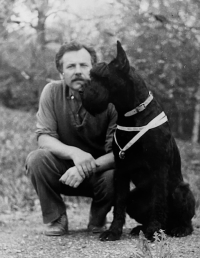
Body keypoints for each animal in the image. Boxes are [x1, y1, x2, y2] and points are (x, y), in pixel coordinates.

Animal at [81, 41, 195, 241]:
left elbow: (158, 201)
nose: (81, 91)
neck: (131, 114)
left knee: (185, 220)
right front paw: (114, 231)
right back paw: (142, 228)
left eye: (102, 77)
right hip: (134, 200)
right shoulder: (121, 170)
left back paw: (177, 229)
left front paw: (153, 231)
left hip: (182, 190)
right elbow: (119, 204)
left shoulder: (159, 168)